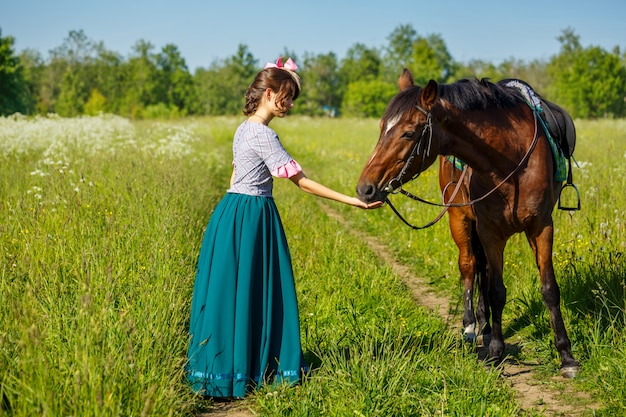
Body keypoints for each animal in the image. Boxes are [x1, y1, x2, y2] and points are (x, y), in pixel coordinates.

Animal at [356, 69, 580, 376]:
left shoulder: (541, 226)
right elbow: (496, 290)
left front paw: (566, 355)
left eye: (409, 132)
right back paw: (472, 326)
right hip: (459, 219)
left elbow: (549, 289)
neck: (511, 162)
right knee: (470, 266)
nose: (365, 189)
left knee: (482, 270)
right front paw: (496, 353)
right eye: (381, 129)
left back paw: (485, 327)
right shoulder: (489, 230)